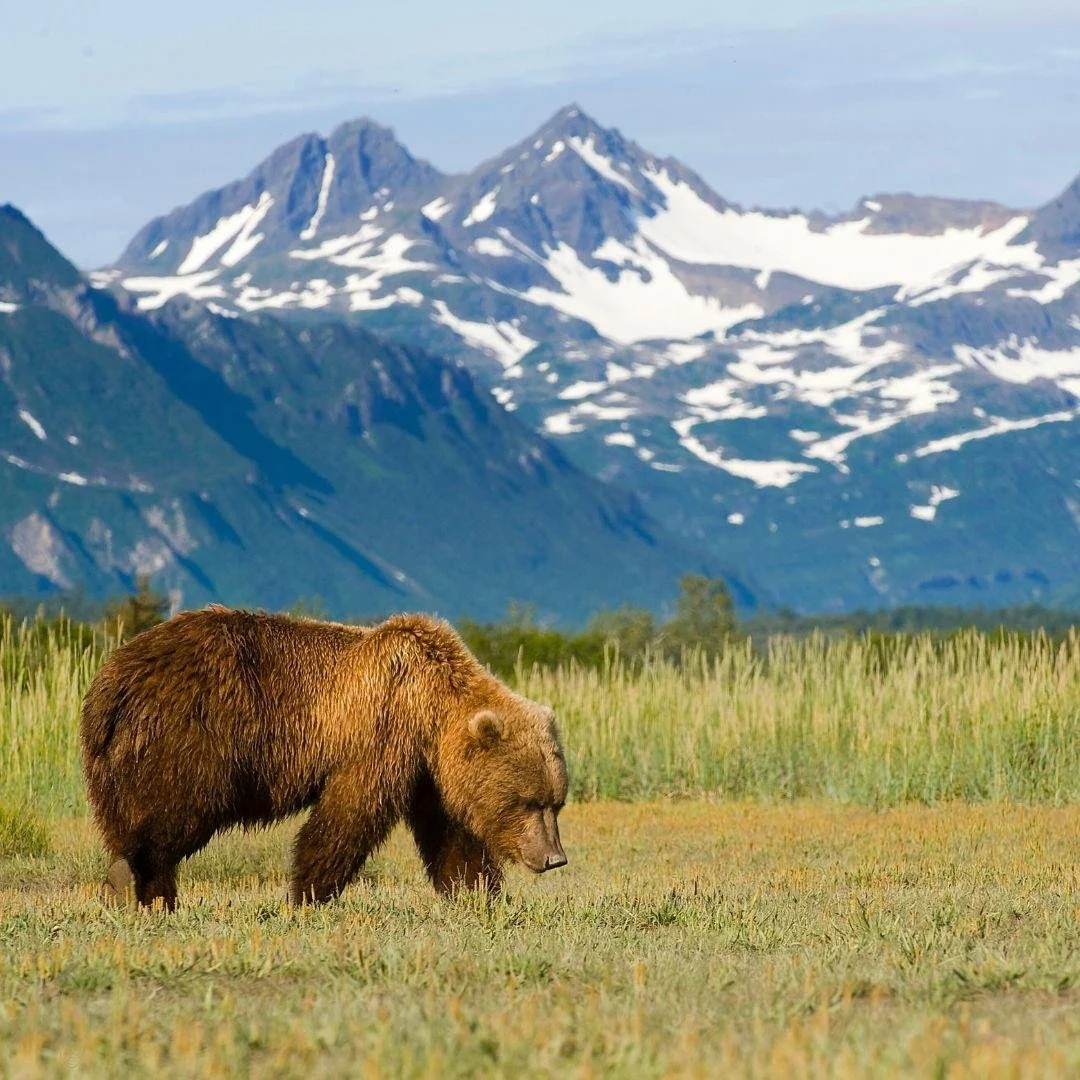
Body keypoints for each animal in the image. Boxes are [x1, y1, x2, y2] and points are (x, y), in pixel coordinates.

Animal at [80, 606, 568, 909]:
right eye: (528, 802)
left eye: (556, 803)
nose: (554, 858)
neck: (432, 707)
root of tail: (111, 679)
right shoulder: (381, 729)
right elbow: (348, 815)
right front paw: (306, 894)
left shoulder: (428, 773)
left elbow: (451, 836)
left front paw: (480, 894)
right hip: (192, 735)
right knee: (172, 812)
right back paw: (135, 885)